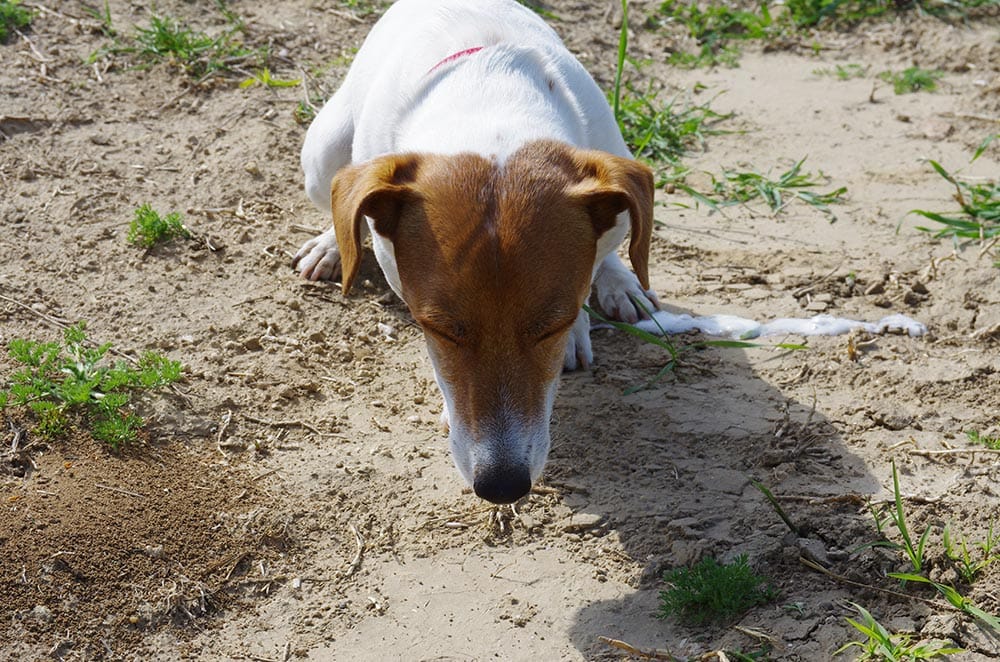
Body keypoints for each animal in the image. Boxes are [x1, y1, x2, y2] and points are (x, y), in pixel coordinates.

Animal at [292, 0, 660, 504]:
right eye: (441, 330)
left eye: (552, 326)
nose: (503, 486)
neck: (491, 106)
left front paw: (586, 319)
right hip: (322, 155)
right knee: (339, 201)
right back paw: (331, 245)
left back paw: (621, 283)